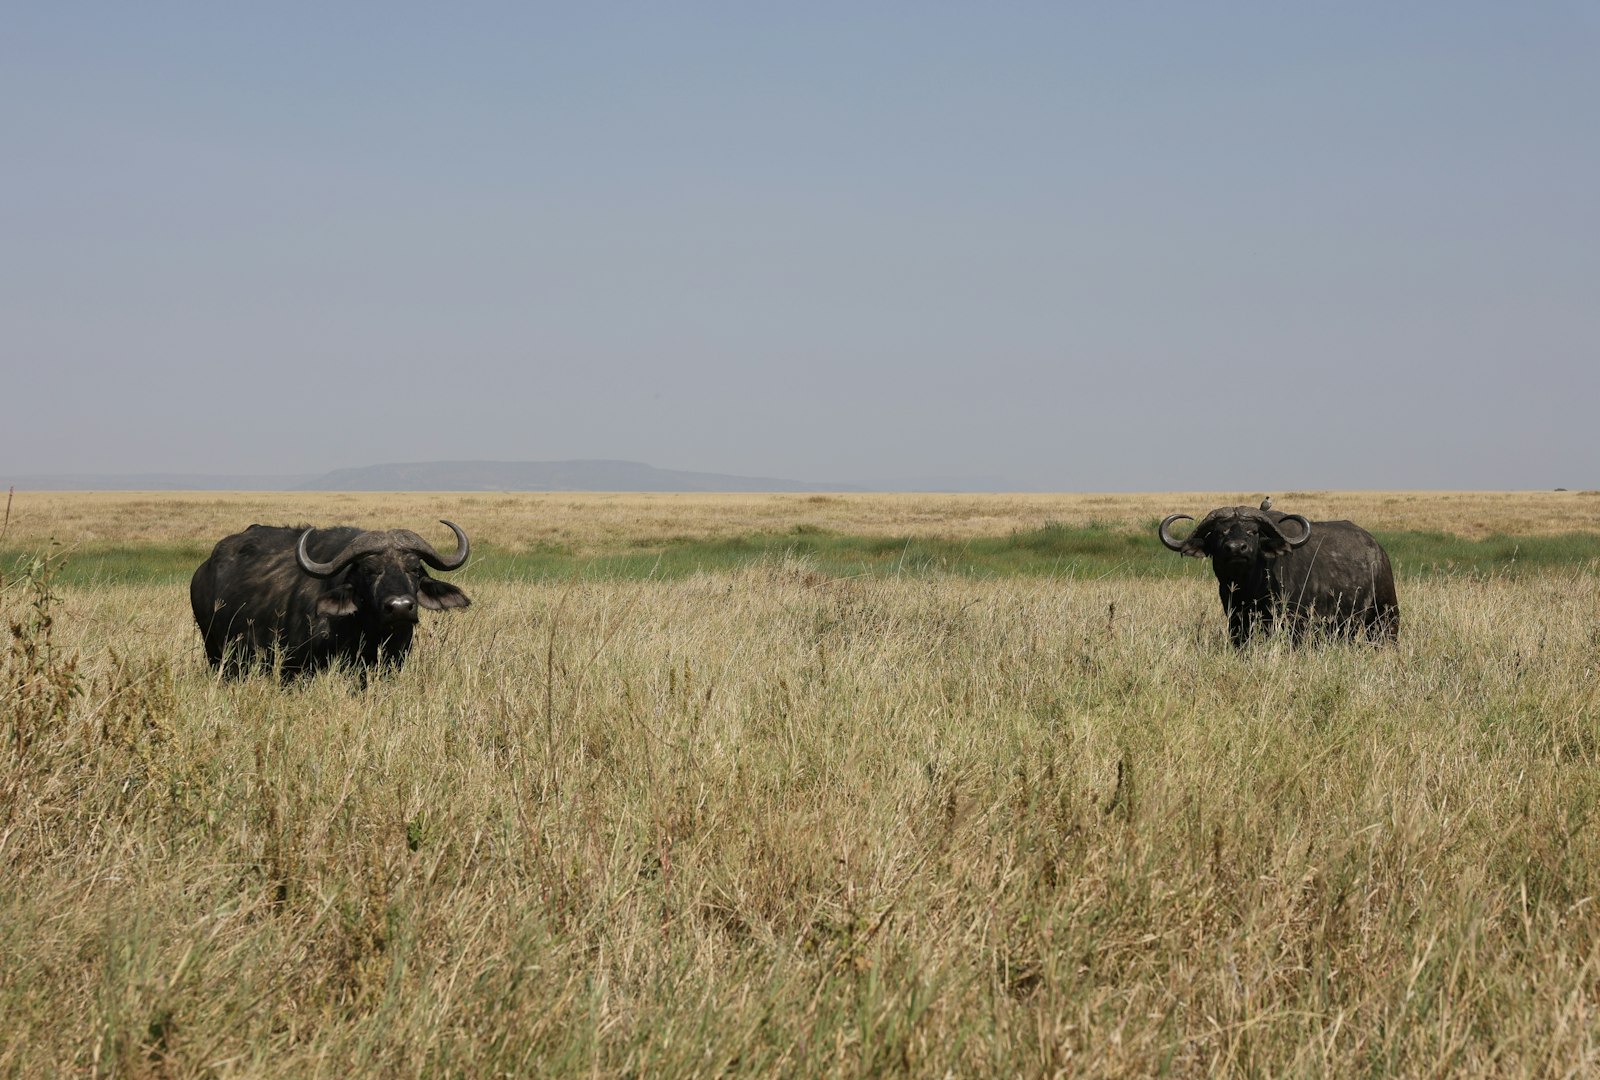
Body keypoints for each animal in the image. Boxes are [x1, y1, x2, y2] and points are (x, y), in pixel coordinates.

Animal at [190, 520, 471, 677]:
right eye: (368, 571)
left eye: (414, 569)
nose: (400, 607)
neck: (367, 631)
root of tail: (202, 571)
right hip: (214, 648)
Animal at [1158, 502, 1398, 646]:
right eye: (1220, 532)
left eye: (1253, 532)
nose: (1236, 548)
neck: (1250, 588)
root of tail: (1378, 550)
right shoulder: (1236, 620)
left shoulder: (1295, 622)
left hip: (1386, 613)